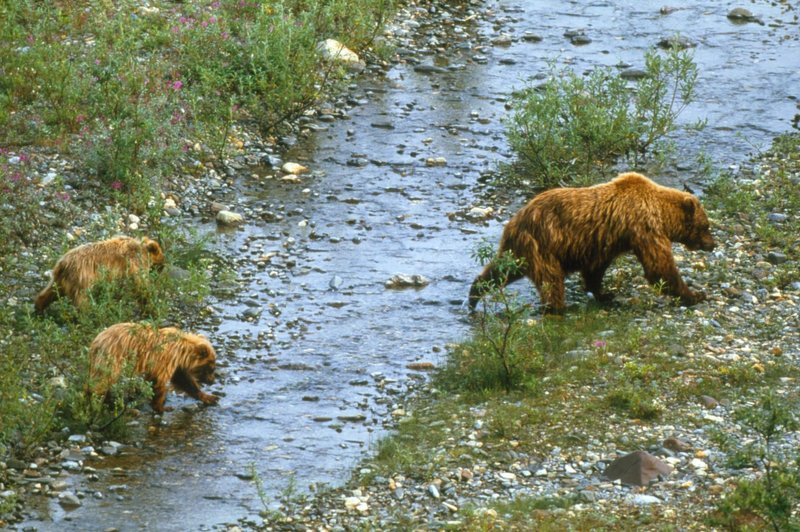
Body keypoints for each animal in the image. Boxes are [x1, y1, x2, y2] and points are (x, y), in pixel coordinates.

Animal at [34, 236, 166, 314]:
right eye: (161, 263)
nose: (162, 269)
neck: (142, 249)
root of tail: (62, 264)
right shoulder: (133, 261)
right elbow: (140, 284)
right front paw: (150, 307)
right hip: (82, 277)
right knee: (82, 297)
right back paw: (89, 313)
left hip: (61, 280)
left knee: (51, 291)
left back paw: (39, 308)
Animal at [466, 171, 716, 312]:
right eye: (706, 226)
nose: (712, 244)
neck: (662, 213)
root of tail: (514, 222)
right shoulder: (644, 227)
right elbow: (659, 266)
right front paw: (694, 294)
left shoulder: (604, 242)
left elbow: (595, 270)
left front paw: (604, 294)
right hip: (542, 246)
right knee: (551, 281)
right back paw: (557, 309)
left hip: (518, 250)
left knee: (501, 270)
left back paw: (474, 294)